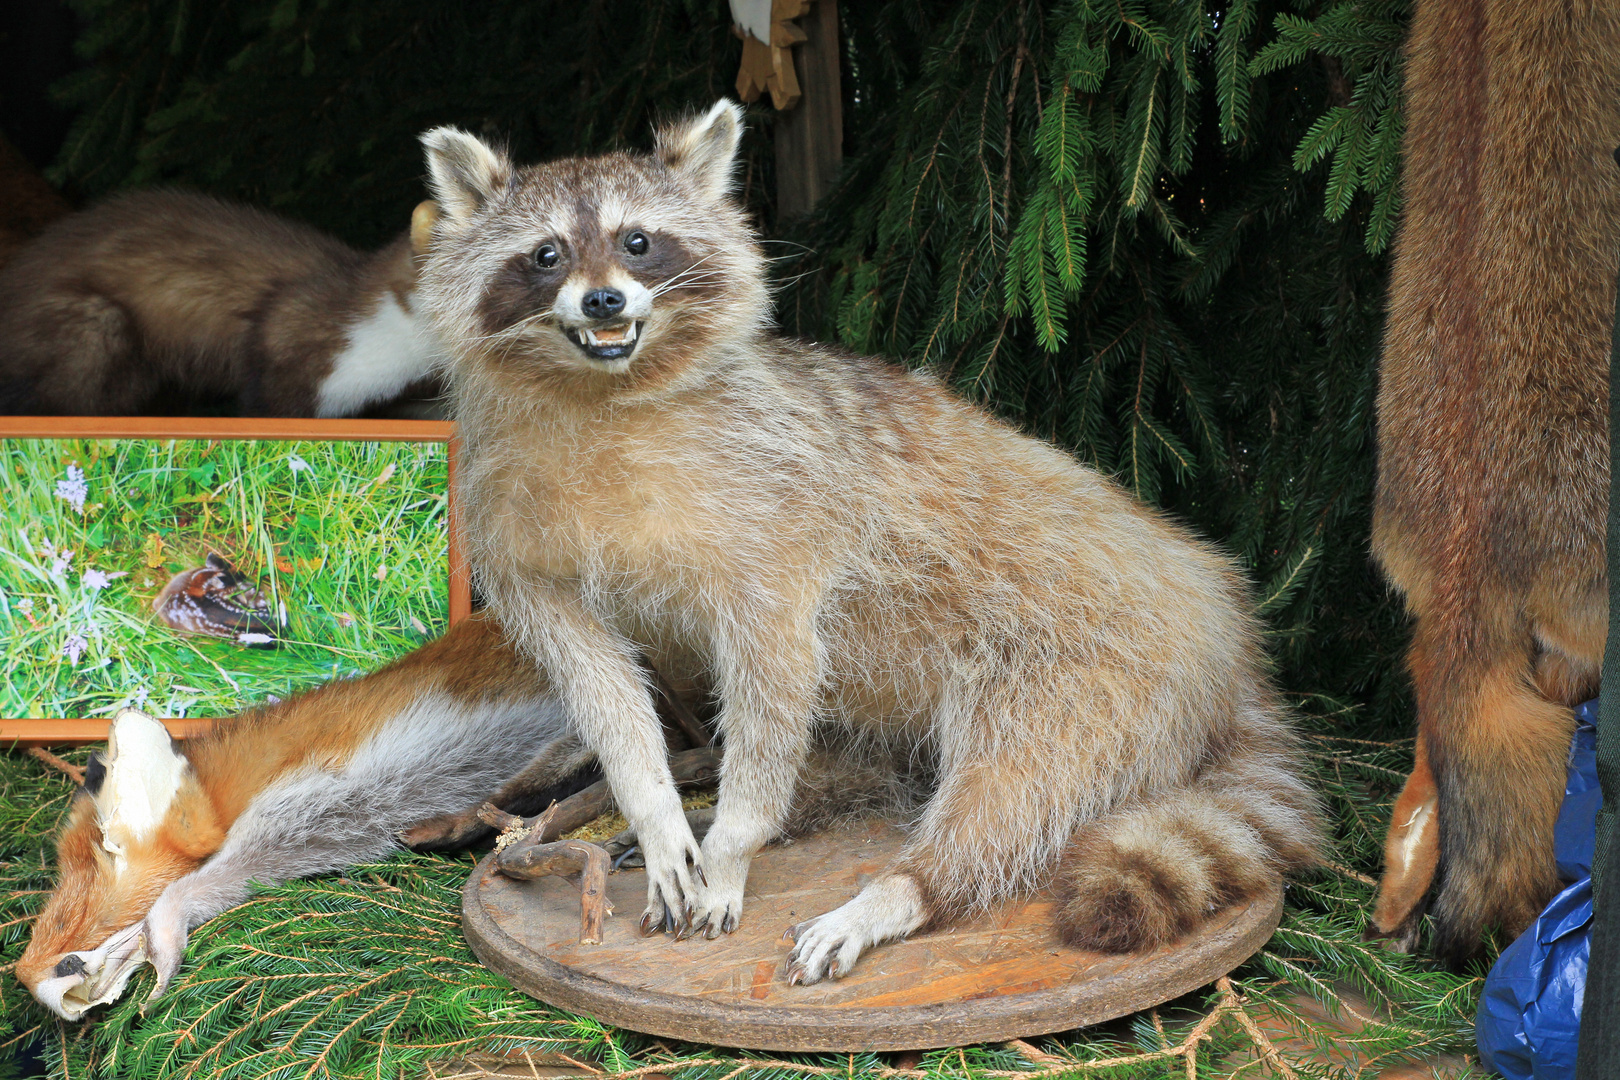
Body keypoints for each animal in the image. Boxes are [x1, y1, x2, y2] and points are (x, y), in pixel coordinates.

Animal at [417, 101, 1328, 990]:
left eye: (637, 241)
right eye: (546, 254)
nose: (605, 301)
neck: (601, 389)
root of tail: (1224, 623)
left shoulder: (777, 514)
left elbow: (775, 667)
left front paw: (738, 841)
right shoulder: (506, 512)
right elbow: (594, 678)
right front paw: (654, 807)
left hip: (1098, 671)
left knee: (1017, 789)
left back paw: (903, 888)